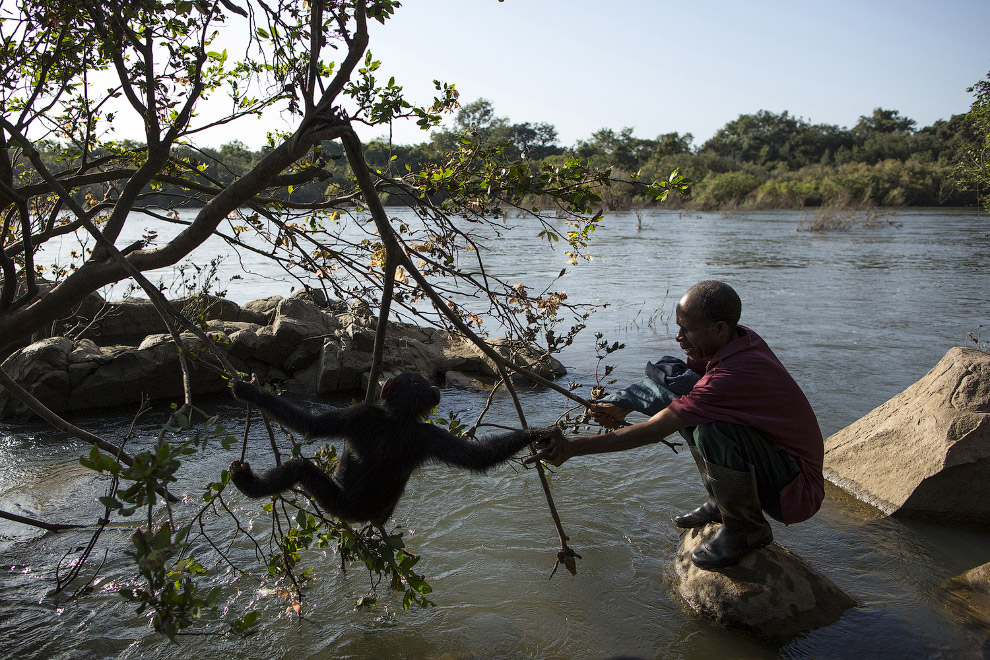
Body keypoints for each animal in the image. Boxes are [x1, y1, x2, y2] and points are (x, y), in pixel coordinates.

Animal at [228, 372, 560, 524]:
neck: (398, 417)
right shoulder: (422, 432)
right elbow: (478, 457)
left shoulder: (360, 413)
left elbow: (310, 425)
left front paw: (249, 392)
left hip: (341, 506)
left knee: (300, 469)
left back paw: (248, 483)